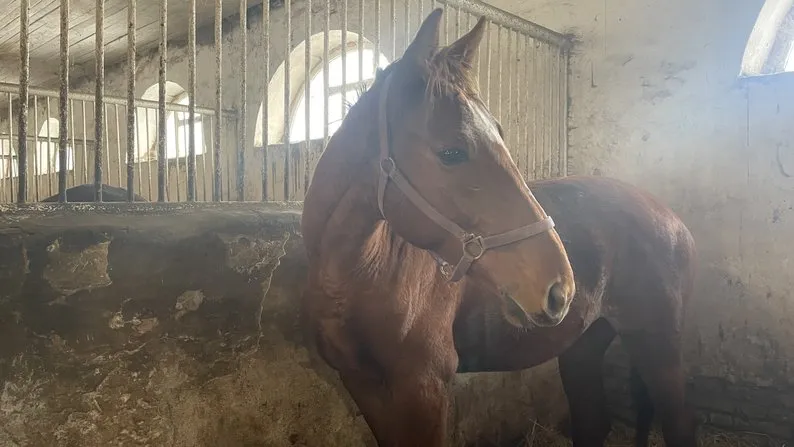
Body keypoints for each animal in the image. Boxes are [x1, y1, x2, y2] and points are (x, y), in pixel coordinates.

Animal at [302, 9, 697, 447]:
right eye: (451, 152)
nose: (559, 288)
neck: (365, 272)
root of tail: (671, 218)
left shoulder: (424, 386)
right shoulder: (364, 386)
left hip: (659, 345)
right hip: (582, 347)